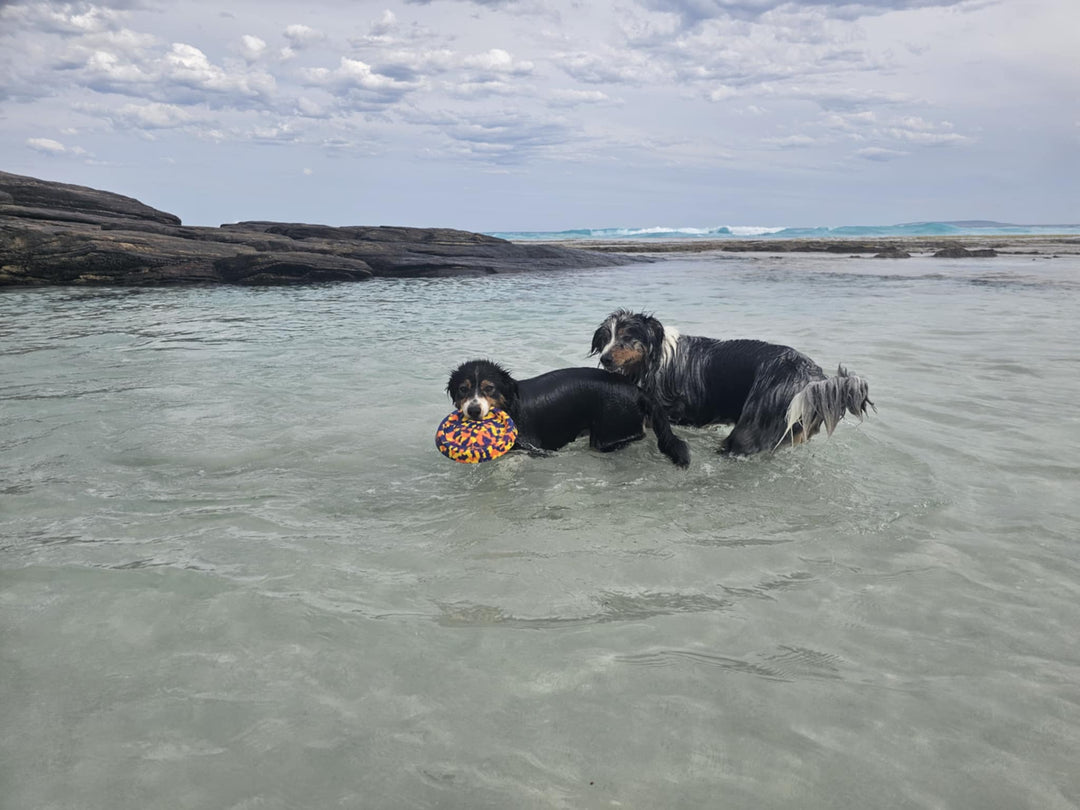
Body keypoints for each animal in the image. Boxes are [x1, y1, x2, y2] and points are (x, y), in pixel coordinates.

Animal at [449, 358, 691, 466]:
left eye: (489, 388)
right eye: (463, 389)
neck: (511, 406)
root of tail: (638, 391)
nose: (473, 409)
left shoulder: (535, 448)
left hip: (610, 433)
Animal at [591, 311, 876, 457]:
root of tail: (814, 378)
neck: (654, 356)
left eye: (626, 337)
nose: (605, 358)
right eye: (605, 338)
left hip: (750, 428)